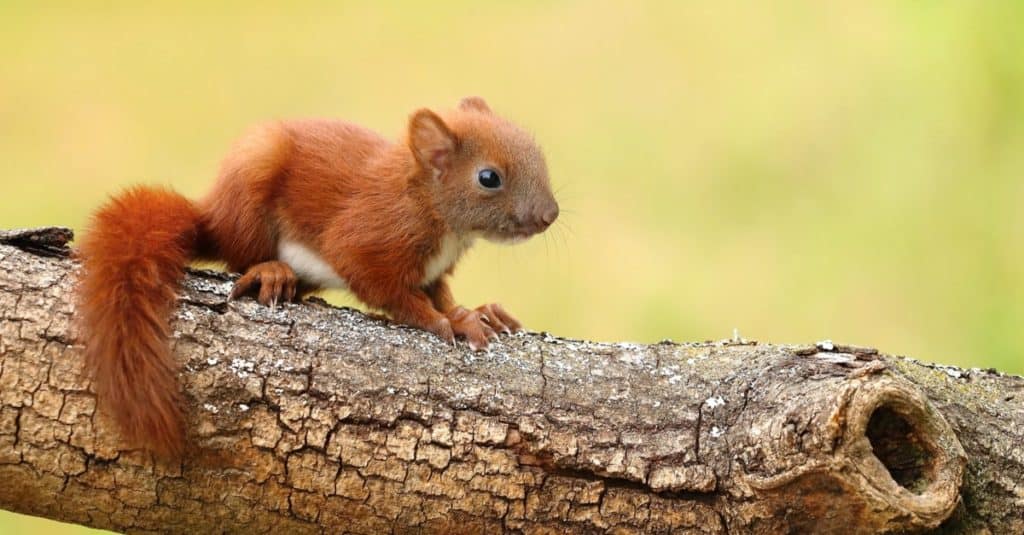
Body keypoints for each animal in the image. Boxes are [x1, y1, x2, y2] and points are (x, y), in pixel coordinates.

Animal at [77, 95, 561, 453]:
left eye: (537, 154)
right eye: (488, 177)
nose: (550, 215)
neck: (438, 217)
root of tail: (211, 216)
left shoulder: (433, 269)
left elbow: (441, 292)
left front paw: (474, 314)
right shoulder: (366, 240)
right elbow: (392, 292)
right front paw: (440, 322)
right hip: (253, 182)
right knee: (240, 256)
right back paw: (270, 271)